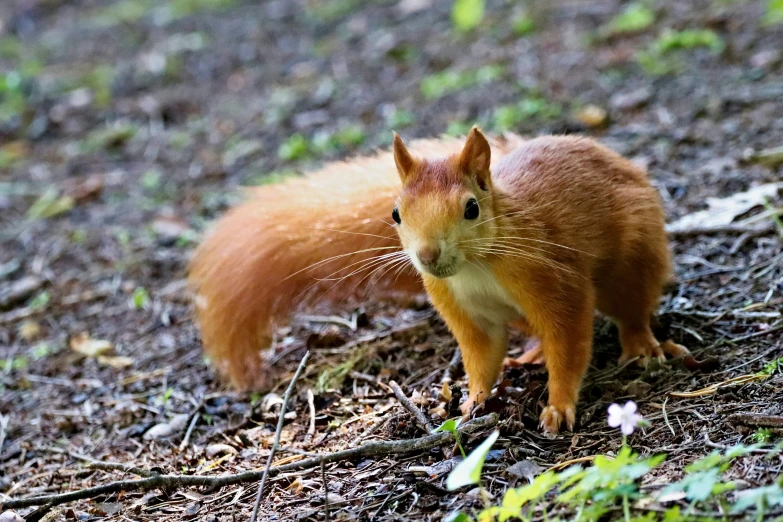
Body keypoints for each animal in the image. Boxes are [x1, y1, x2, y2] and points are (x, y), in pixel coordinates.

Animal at [188, 128, 688, 432]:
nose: (427, 255)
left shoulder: (553, 280)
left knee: (632, 307)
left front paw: (559, 405)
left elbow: (568, 343)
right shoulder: (460, 306)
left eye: (471, 208)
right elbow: (482, 356)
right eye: (395, 213)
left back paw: (642, 346)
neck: (475, 267)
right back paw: (530, 352)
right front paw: (473, 401)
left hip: (633, 259)